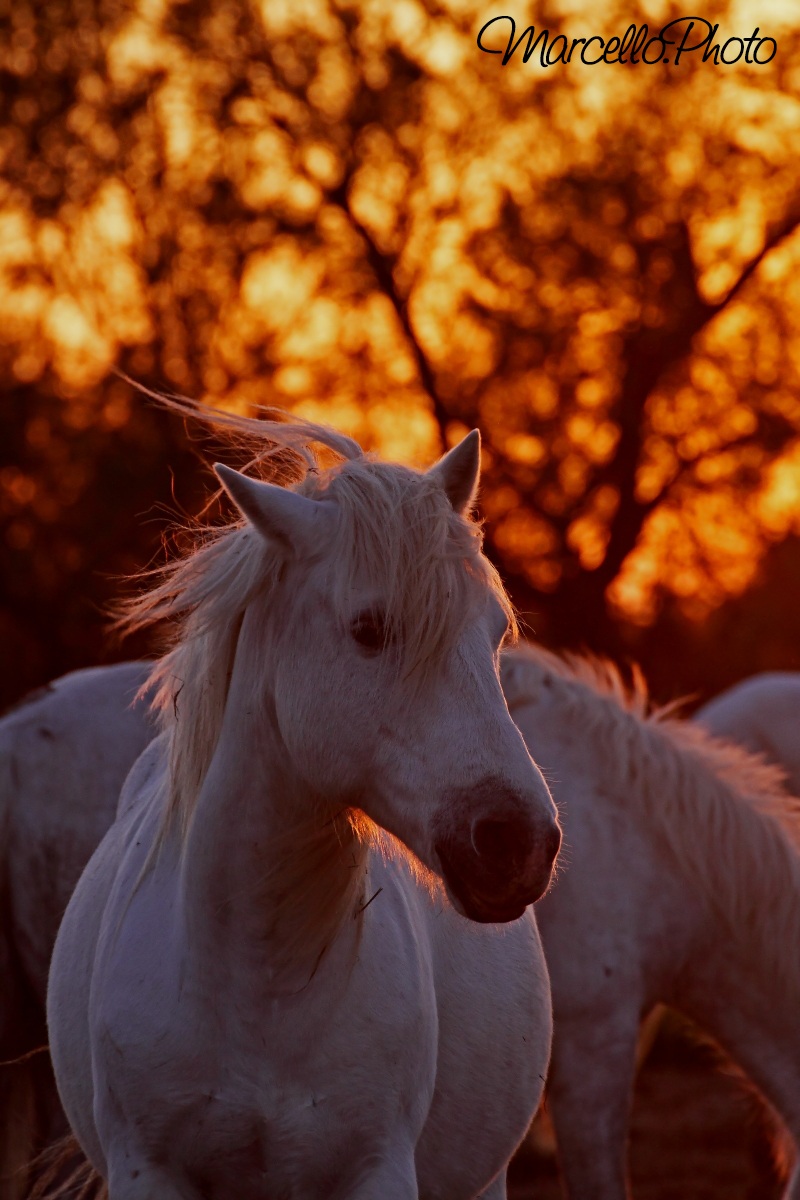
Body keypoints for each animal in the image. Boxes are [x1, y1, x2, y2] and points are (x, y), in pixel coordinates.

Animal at [44, 402, 561, 1200]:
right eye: (368, 629)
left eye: (496, 632)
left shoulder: (377, 1171)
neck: (262, 987)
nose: (519, 840)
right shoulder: (148, 1172)